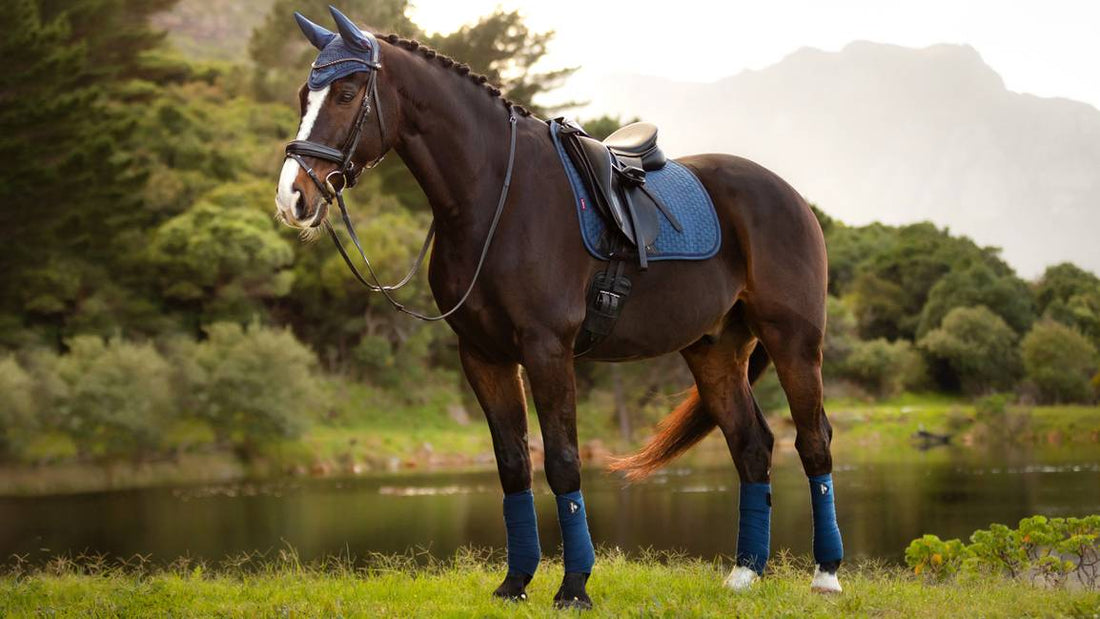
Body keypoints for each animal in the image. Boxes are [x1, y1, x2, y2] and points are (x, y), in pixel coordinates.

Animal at [272, 8, 840, 611]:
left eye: (346, 92)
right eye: (304, 95)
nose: (293, 198)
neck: (495, 198)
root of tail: (790, 196)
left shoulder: (547, 351)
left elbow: (564, 464)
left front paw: (573, 587)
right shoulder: (484, 356)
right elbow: (513, 466)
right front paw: (515, 582)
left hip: (793, 343)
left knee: (813, 442)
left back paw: (826, 575)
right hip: (714, 353)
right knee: (752, 446)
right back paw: (744, 574)